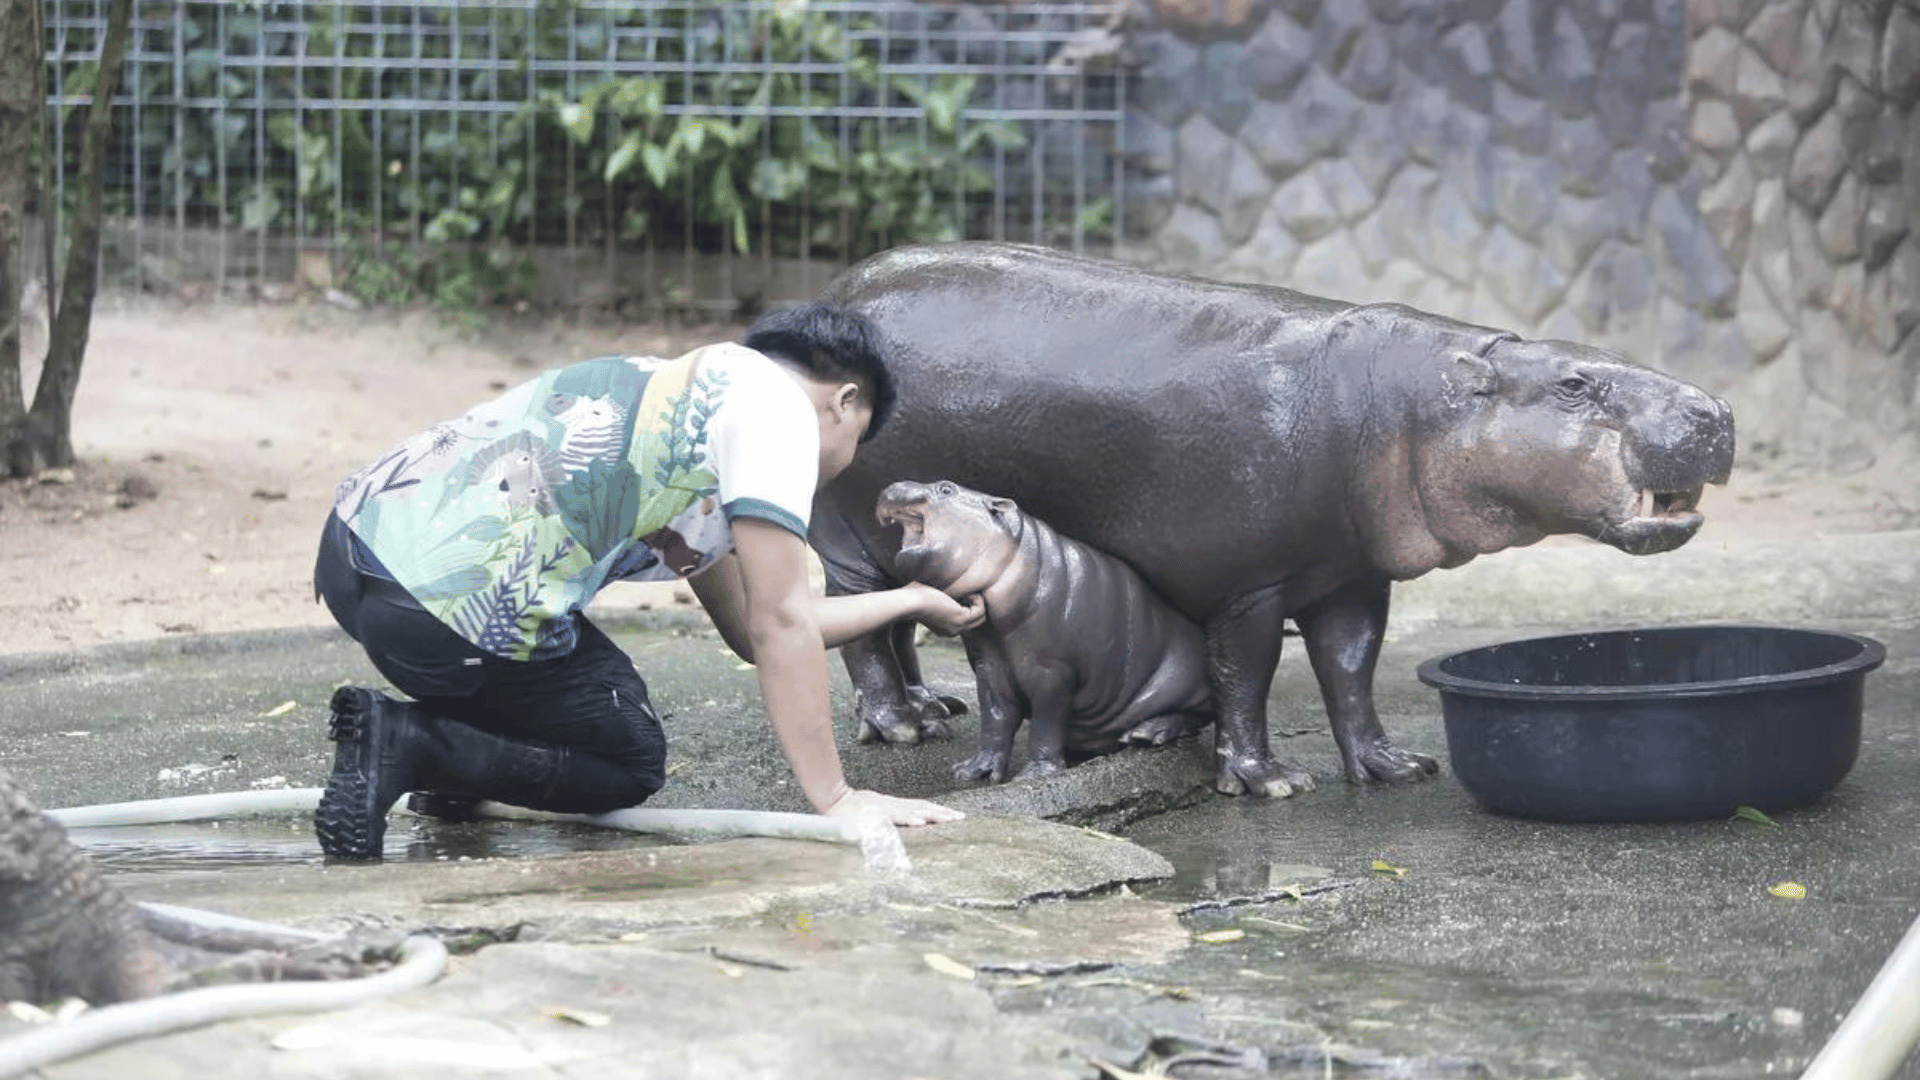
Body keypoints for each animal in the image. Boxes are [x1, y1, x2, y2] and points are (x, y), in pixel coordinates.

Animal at [875, 476, 1205, 772]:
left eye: (946, 488)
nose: (892, 486)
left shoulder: (1053, 670)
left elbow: (1047, 721)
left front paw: (1037, 773)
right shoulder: (989, 663)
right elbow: (995, 716)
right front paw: (974, 770)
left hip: (1180, 680)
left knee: (1195, 716)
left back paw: (1146, 733)